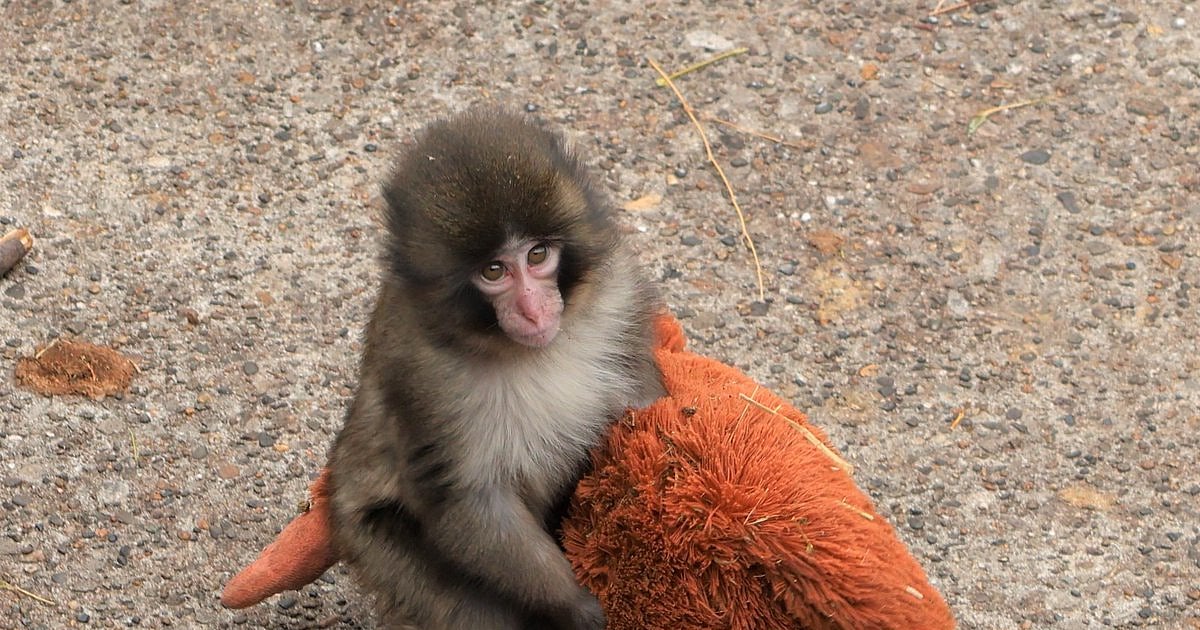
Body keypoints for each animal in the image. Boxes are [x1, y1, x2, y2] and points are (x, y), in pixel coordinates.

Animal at [326, 109, 665, 630]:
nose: (532, 309)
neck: (526, 350)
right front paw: (578, 606)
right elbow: (469, 500)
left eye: (537, 255)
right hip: (378, 546)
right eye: (493, 271)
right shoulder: (423, 376)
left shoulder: (617, 298)